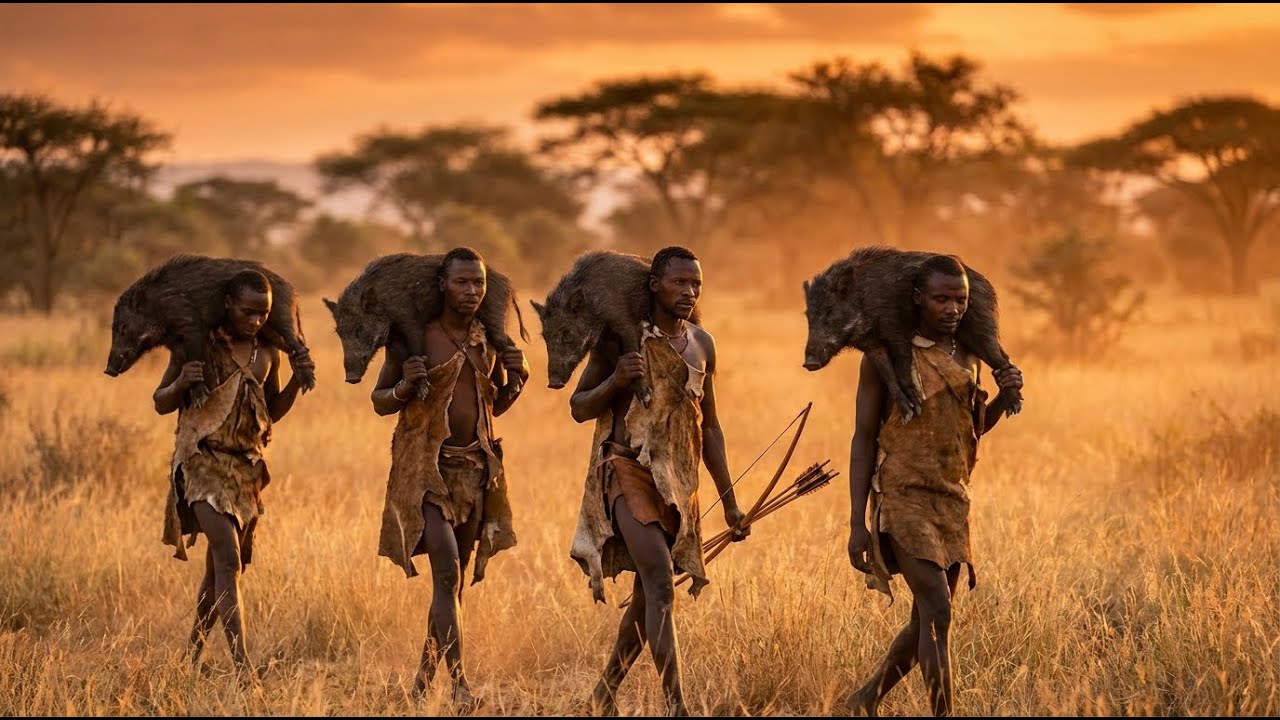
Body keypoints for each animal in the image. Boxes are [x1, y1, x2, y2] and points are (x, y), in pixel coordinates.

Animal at [104, 254, 315, 408]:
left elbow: (197, 357)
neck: (158, 308)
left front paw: (200, 400)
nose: (108, 370)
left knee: (296, 341)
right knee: (293, 346)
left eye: (123, 327)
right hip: (269, 330)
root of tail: (292, 291)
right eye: (113, 327)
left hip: (281, 316)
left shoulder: (191, 325)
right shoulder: (176, 344)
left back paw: (309, 381)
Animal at [322, 253, 528, 396]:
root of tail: (508, 283)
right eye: (339, 332)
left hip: (495, 314)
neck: (385, 305)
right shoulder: (394, 339)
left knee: (508, 345)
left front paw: (423, 393)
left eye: (360, 328)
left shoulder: (411, 321)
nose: (351, 378)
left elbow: (416, 351)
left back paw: (513, 388)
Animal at [529, 250, 701, 408]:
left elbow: (633, 351)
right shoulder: (604, 342)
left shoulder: (626, 323)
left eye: (567, 334)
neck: (596, 308)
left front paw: (646, 399)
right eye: (545, 336)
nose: (553, 383)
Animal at [802, 246, 1022, 422]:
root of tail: (986, 284)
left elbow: (903, 364)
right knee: (1002, 358)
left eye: (829, 311)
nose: (809, 363)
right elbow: (888, 373)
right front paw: (908, 411)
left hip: (980, 323)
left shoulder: (895, 329)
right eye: (808, 315)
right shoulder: (872, 344)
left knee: (1001, 358)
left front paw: (916, 405)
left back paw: (1015, 407)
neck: (863, 302)